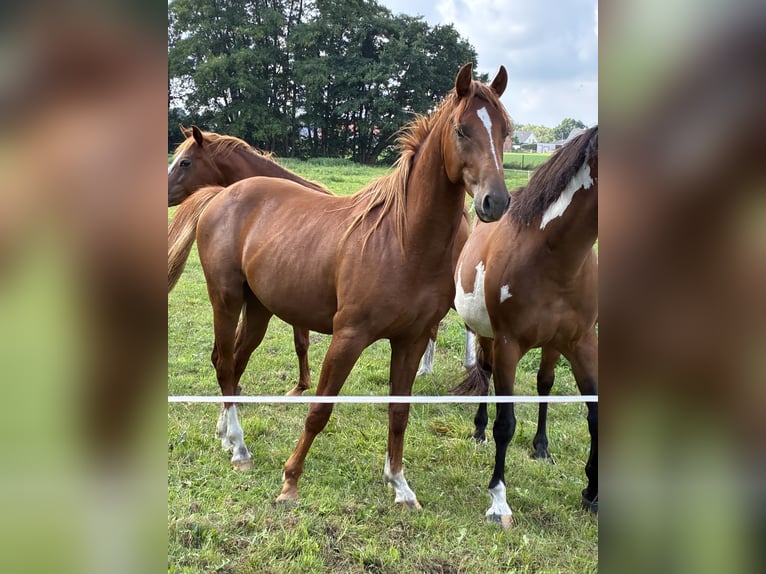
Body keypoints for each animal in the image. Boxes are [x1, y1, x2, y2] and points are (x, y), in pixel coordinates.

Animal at [452, 126, 598, 526]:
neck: (554, 256)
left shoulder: (582, 343)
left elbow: (595, 415)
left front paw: (592, 493)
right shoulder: (508, 345)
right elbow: (506, 422)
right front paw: (498, 500)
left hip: (552, 344)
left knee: (544, 384)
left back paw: (542, 448)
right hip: (486, 335)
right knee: (484, 371)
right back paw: (479, 429)